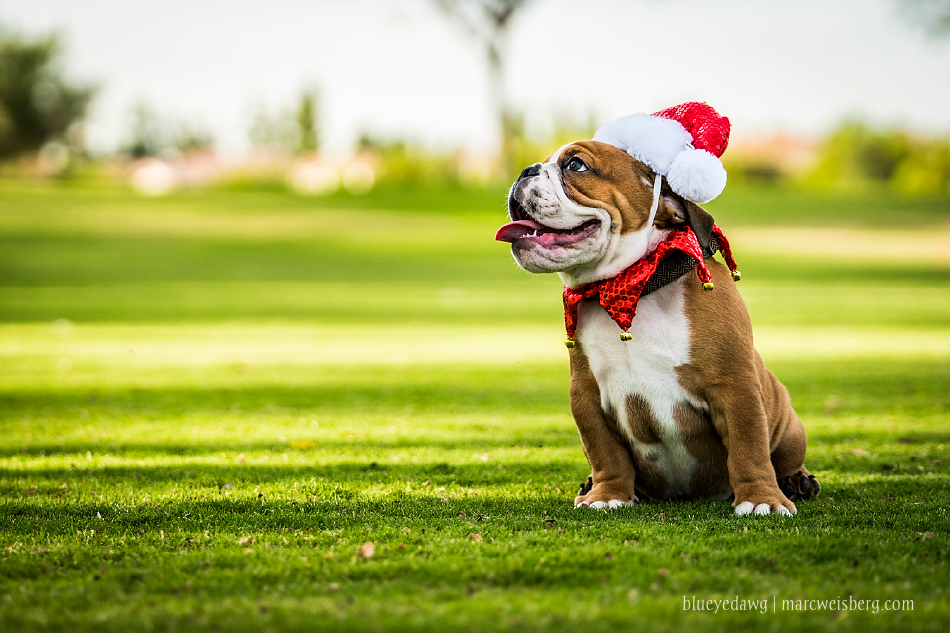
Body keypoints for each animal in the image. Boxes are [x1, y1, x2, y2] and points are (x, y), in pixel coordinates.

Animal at [498, 141, 820, 516]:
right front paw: (607, 494)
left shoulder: (734, 386)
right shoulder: (586, 395)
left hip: (787, 420)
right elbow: (605, 452)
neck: (635, 286)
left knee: (782, 455)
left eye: (576, 166)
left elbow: (748, 446)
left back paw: (795, 481)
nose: (526, 170)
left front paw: (760, 499)